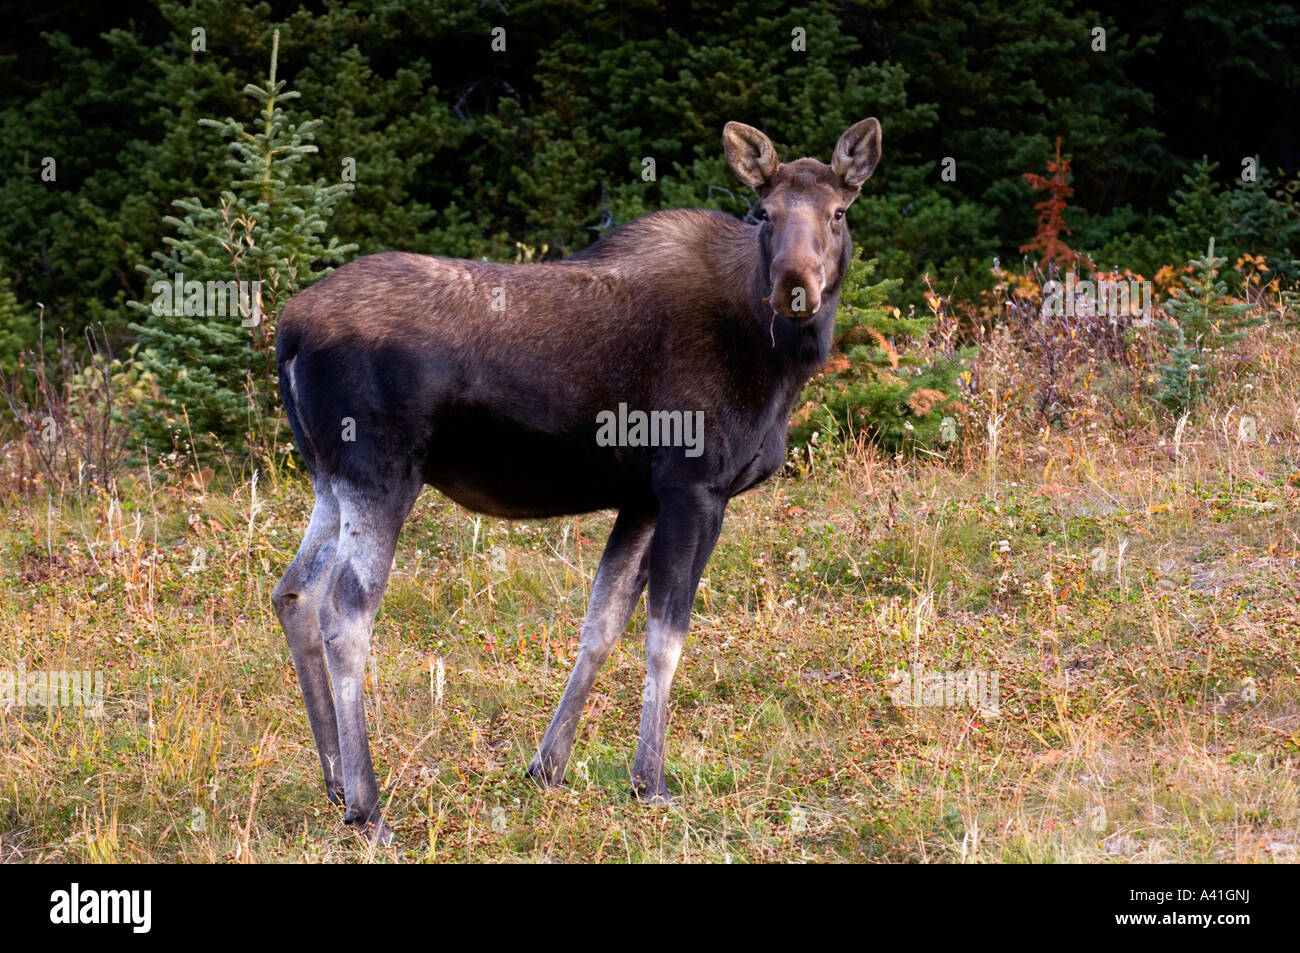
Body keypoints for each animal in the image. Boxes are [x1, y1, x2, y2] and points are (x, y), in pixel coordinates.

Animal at [274, 118, 883, 842]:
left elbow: (602, 623)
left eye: (839, 212)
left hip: (329, 479)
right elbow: (664, 637)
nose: (795, 283)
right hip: (381, 473)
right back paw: (368, 808)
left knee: (294, 592)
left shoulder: (642, 497)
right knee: (346, 611)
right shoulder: (693, 487)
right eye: (765, 212)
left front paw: (547, 766)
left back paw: (336, 782)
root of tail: (289, 332)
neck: (777, 364)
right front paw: (650, 781)